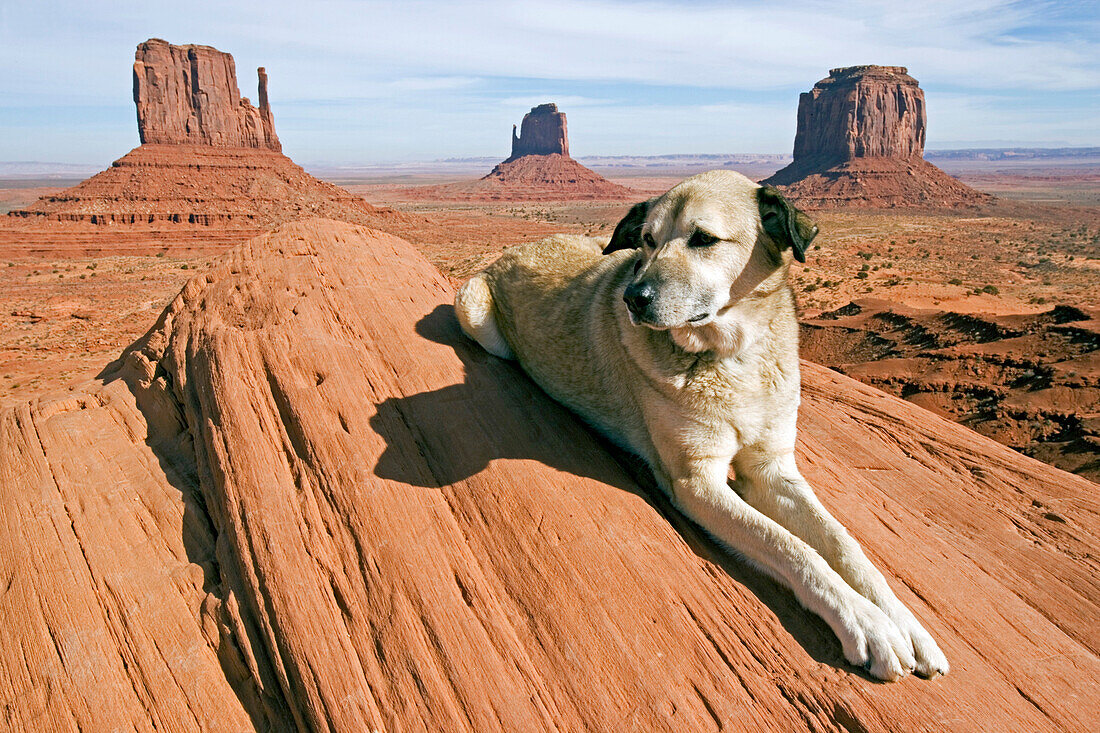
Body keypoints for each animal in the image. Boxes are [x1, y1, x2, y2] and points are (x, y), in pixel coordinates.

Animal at [451, 167, 950, 677]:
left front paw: (907, 623)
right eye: (648, 240)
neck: (732, 358)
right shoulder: (696, 481)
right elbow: (791, 546)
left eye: (704, 238)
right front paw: (868, 624)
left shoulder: (772, 469)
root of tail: (521, 246)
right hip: (477, 317)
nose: (634, 298)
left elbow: (844, 543)